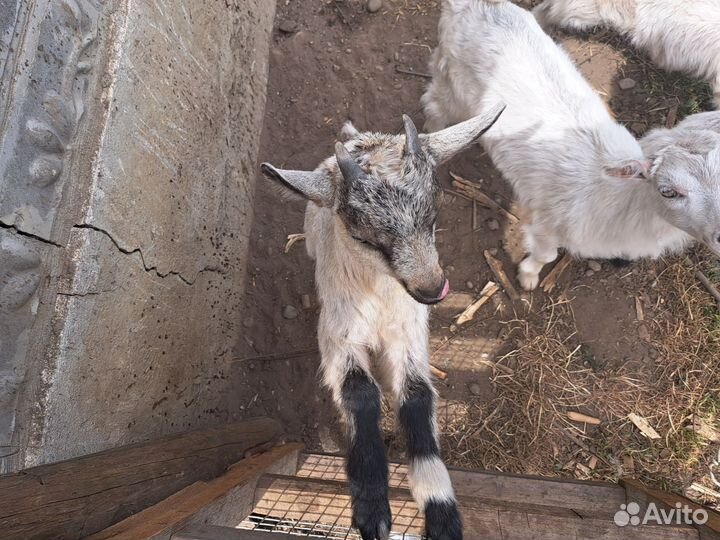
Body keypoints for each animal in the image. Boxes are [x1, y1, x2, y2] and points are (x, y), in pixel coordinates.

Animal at [260, 105, 504, 540]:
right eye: (367, 239)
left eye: (433, 215)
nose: (432, 289)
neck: (378, 297)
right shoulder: (338, 337)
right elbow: (360, 393)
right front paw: (371, 507)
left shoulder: (409, 336)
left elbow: (417, 395)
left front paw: (441, 512)